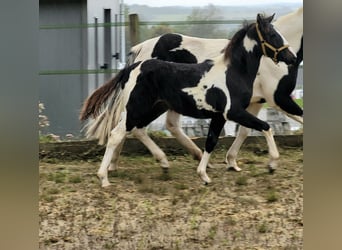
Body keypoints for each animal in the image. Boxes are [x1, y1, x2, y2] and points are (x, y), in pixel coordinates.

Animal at [80, 12, 296, 187]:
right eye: (273, 35)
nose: (292, 57)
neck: (233, 73)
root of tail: (131, 68)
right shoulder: (233, 112)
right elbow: (265, 127)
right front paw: (272, 164)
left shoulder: (219, 116)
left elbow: (211, 141)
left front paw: (204, 174)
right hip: (137, 108)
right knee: (116, 134)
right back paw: (104, 178)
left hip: (152, 108)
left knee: (137, 130)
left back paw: (161, 162)